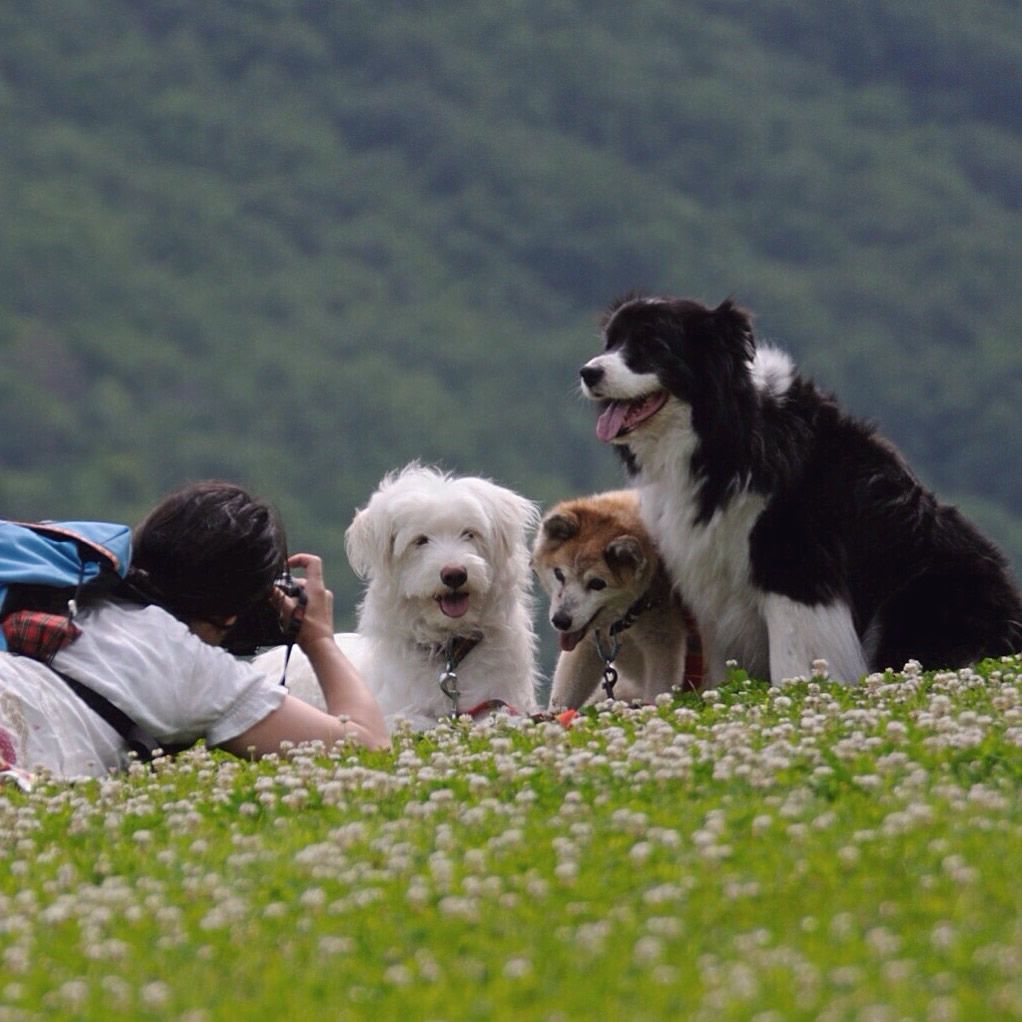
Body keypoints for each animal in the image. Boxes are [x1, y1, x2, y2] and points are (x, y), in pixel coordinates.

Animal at [531, 490, 699, 707]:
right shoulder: (588, 645)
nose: (561, 620)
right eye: (559, 574)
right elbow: (564, 698)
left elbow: (658, 692)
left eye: (597, 583)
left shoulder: (664, 646)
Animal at [584, 292, 1021, 682]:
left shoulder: (793, 563)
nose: (588, 372)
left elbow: (793, 654)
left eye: (653, 346)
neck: (724, 435)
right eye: (611, 343)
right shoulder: (712, 575)